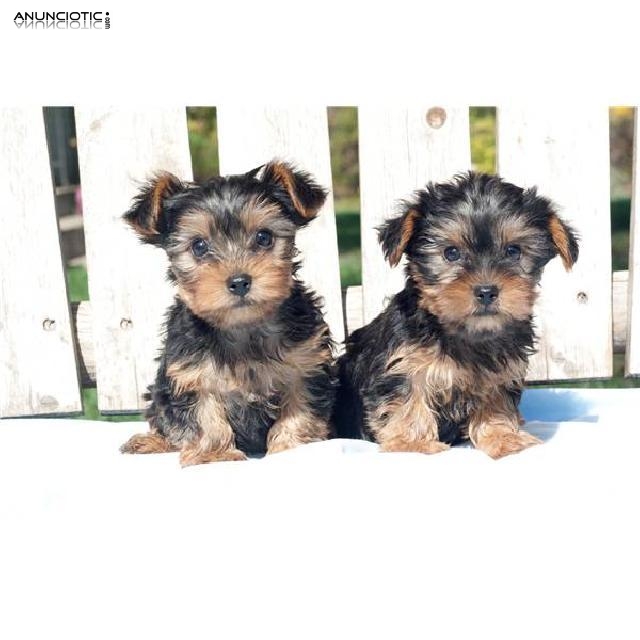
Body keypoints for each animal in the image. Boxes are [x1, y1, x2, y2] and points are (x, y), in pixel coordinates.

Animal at [119, 160, 336, 464]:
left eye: (264, 237)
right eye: (199, 246)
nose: (239, 281)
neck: (243, 326)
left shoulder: (305, 364)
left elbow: (300, 409)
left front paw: (291, 447)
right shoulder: (191, 374)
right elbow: (205, 417)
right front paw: (214, 455)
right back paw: (151, 442)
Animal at [336, 172, 580, 458]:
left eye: (513, 251)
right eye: (451, 253)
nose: (486, 291)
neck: (466, 332)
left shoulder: (500, 373)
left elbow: (496, 404)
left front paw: (504, 437)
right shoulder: (403, 364)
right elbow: (408, 400)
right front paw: (413, 444)